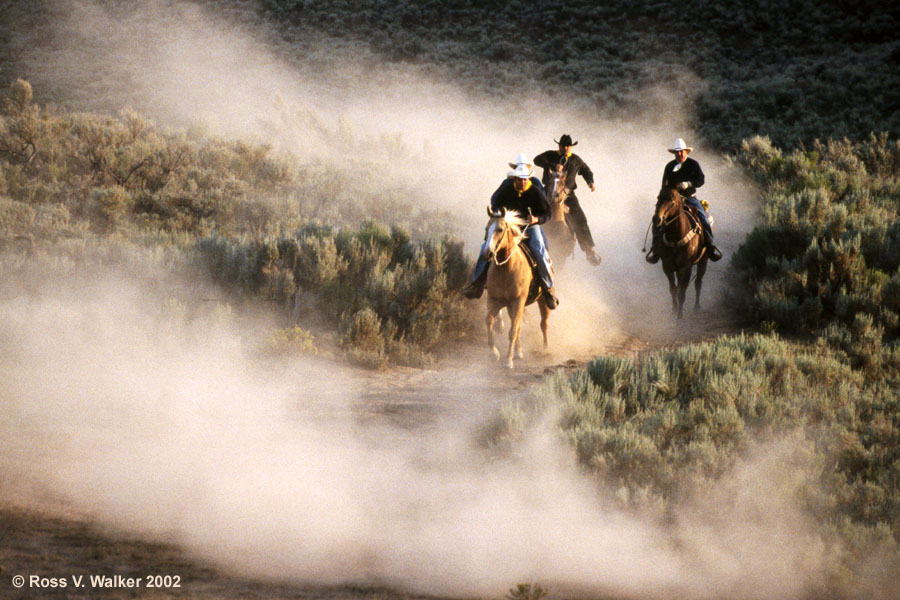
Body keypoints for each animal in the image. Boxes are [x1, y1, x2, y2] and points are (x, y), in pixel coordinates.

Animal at [652, 186, 708, 318]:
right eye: (658, 197)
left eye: (672, 202)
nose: (657, 219)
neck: (676, 238)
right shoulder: (667, 267)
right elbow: (673, 289)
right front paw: (674, 310)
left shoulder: (686, 268)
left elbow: (682, 291)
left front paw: (680, 316)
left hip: (703, 261)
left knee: (698, 282)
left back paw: (697, 306)